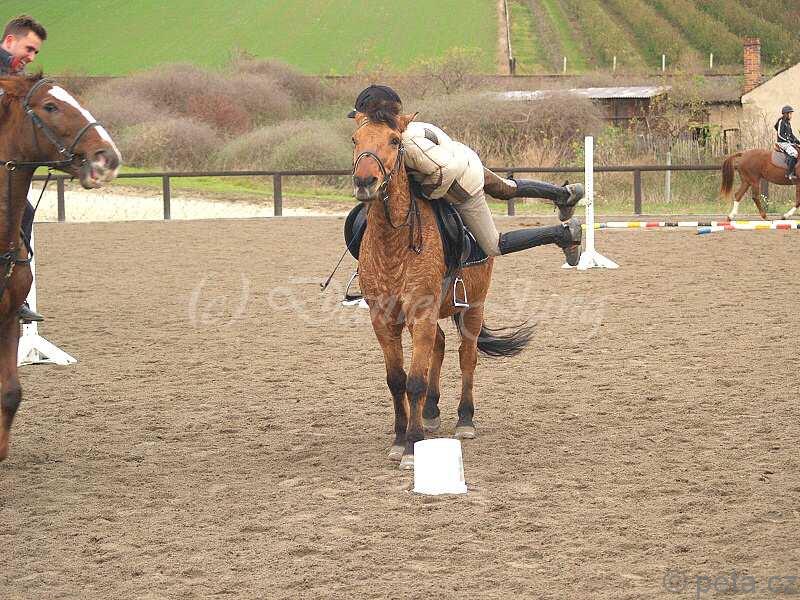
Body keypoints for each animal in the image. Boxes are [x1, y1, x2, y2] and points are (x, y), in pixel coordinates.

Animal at [351, 109, 534, 469]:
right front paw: (400, 438)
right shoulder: (383, 321)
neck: (393, 244)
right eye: (355, 139)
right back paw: (431, 411)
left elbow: (415, 381)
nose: (365, 182)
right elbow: (397, 381)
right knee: (440, 345)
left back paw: (465, 419)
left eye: (394, 140)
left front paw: (412, 446)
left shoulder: (421, 314)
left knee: (466, 356)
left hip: (473, 306)